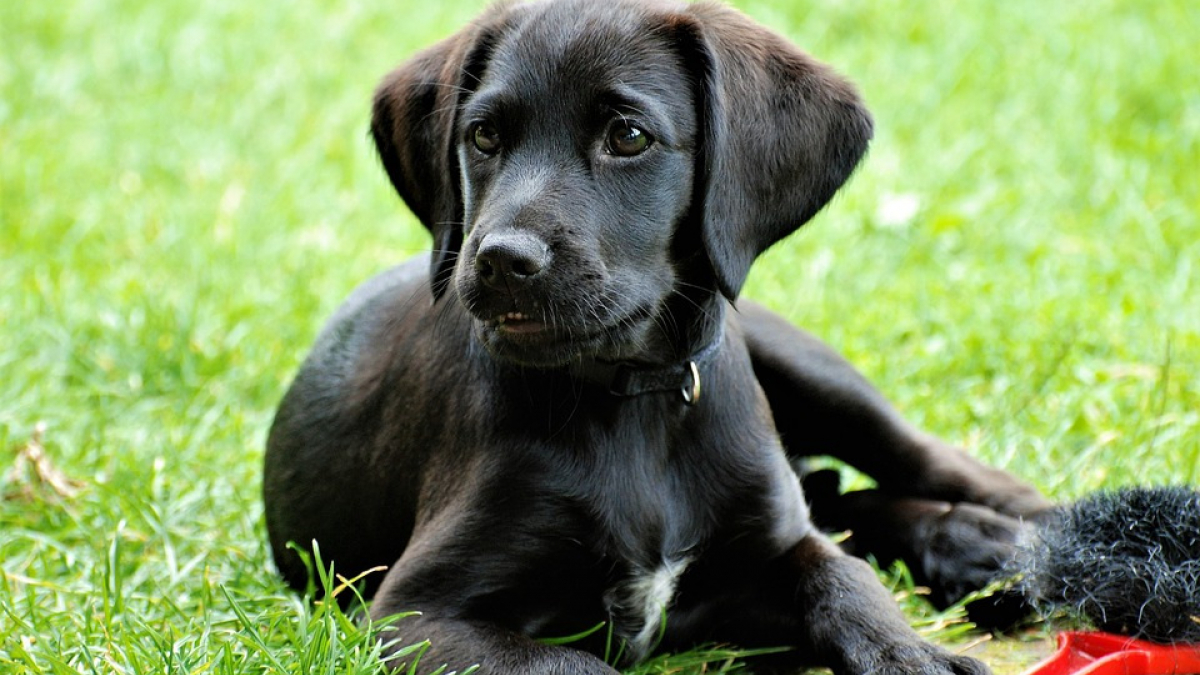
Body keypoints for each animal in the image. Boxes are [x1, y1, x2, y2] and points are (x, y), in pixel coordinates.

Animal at [265, 1, 1051, 672]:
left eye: (628, 137)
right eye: (483, 136)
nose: (500, 261)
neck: (633, 400)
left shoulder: (777, 549)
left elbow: (847, 581)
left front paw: (909, 653)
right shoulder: (415, 614)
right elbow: (571, 664)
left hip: (803, 364)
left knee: (910, 460)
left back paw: (1013, 538)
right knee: (839, 498)